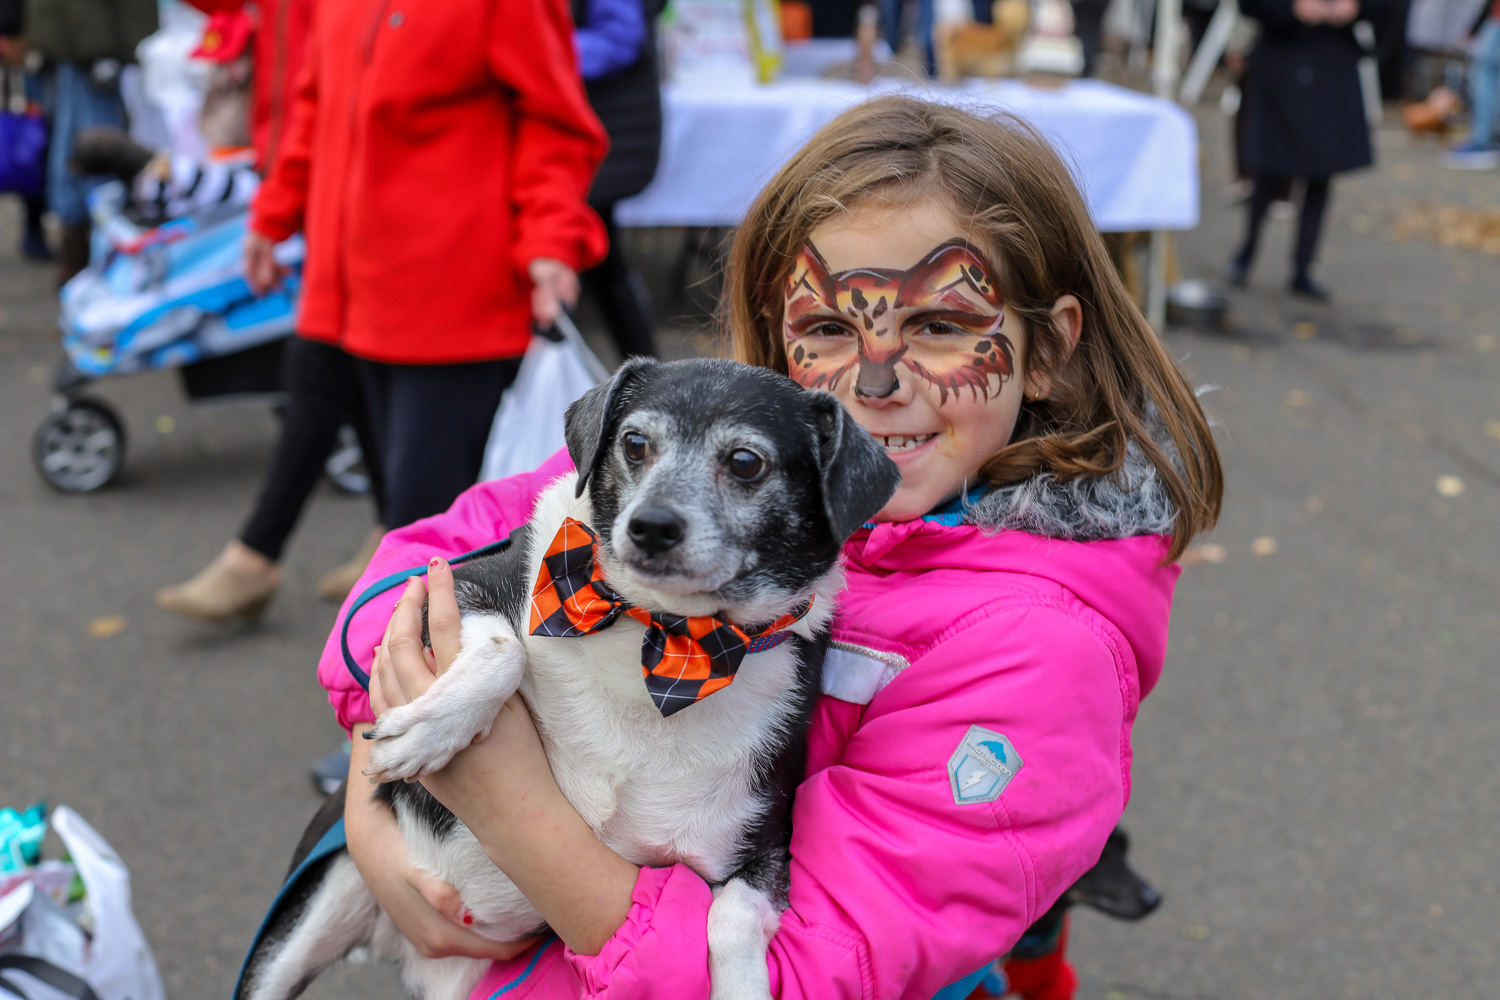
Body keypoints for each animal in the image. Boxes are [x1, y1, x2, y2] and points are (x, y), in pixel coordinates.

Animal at [238, 359, 894, 1000]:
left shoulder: (762, 851)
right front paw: (431, 729)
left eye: (745, 462)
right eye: (634, 443)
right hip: (306, 917)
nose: (651, 525)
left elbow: (730, 918)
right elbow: (504, 646)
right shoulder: (452, 587)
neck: (663, 636)